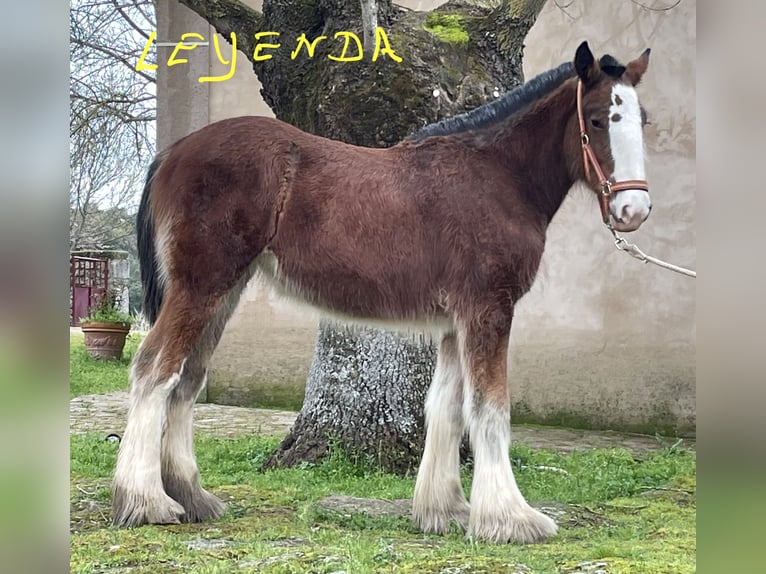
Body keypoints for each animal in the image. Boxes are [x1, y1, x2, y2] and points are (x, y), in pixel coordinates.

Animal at [112, 41, 652, 544]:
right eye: (599, 119)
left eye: (642, 119)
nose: (633, 210)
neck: (497, 177)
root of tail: (172, 153)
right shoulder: (488, 310)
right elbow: (489, 408)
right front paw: (510, 518)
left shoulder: (456, 322)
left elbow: (447, 407)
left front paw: (445, 510)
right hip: (201, 288)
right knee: (154, 370)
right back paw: (146, 501)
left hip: (223, 293)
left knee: (187, 379)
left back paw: (191, 497)